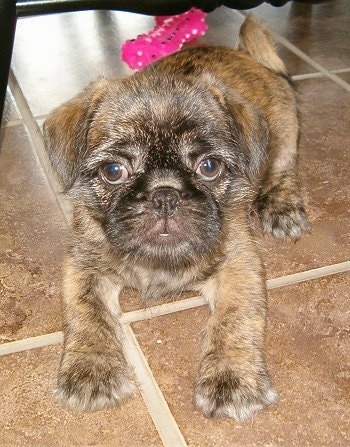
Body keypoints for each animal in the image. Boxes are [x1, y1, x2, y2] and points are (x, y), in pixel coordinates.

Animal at [43, 16, 308, 424]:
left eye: (209, 166)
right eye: (113, 171)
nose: (164, 195)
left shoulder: (239, 265)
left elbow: (235, 318)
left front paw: (232, 376)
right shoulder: (82, 265)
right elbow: (86, 313)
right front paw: (92, 368)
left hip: (283, 138)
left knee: (284, 170)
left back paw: (282, 206)